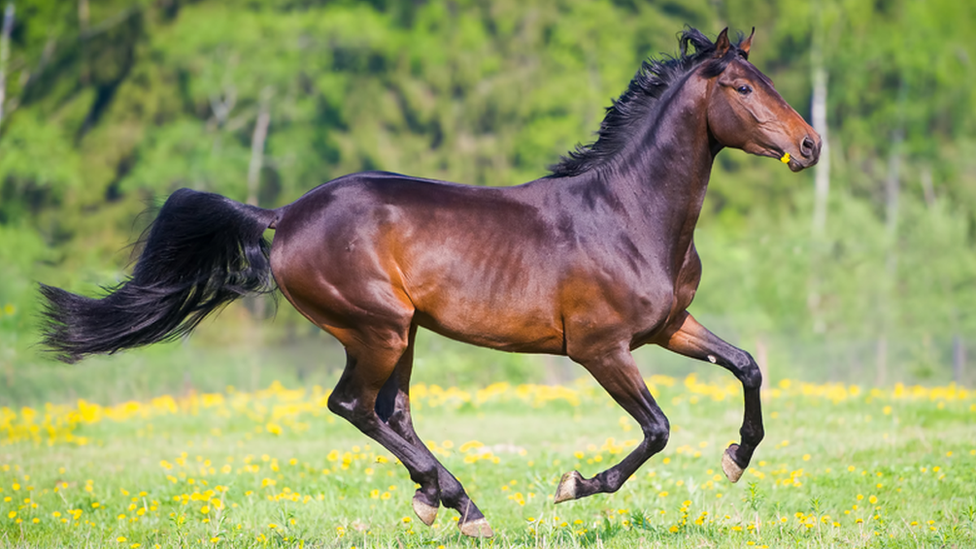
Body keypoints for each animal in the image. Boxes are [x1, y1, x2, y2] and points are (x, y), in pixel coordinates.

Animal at [43, 28, 824, 536]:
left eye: (773, 83)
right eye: (744, 87)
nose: (810, 143)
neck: (627, 214)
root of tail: (284, 214)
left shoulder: (668, 327)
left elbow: (748, 366)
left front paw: (736, 459)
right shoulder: (600, 349)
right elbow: (657, 428)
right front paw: (574, 485)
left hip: (404, 333)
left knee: (393, 413)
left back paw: (436, 498)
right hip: (377, 328)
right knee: (355, 405)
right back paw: (462, 503)